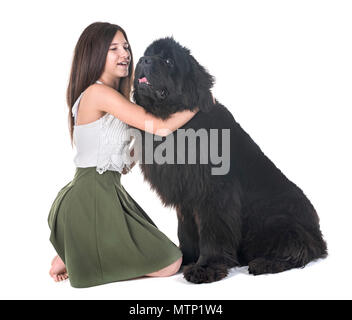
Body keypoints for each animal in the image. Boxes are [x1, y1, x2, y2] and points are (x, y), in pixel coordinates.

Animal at [131, 36, 328, 284]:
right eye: (148, 53)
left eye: (168, 60)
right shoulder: (186, 196)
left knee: (300, 248)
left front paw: (205, 267)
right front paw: (186, 258)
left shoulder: (216, 194)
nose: (143, 60)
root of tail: (317, 232)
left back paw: (265, 263)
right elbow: (185, 231)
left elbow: (213, 233)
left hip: (275, 218)